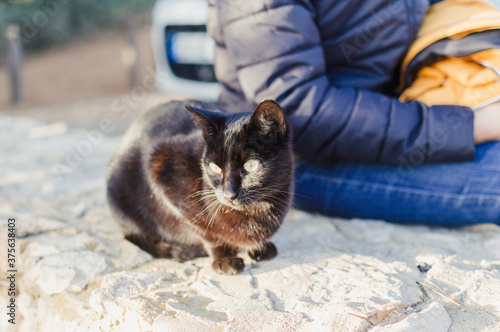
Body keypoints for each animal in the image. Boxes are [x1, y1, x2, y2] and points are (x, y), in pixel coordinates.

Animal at [105, 99, 292, 274]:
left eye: (251, 165)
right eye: (215, 167)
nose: (228, 194)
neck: (257, 210)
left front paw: (259, 247)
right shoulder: (161, 169)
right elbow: (208, 233)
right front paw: (224, 259)